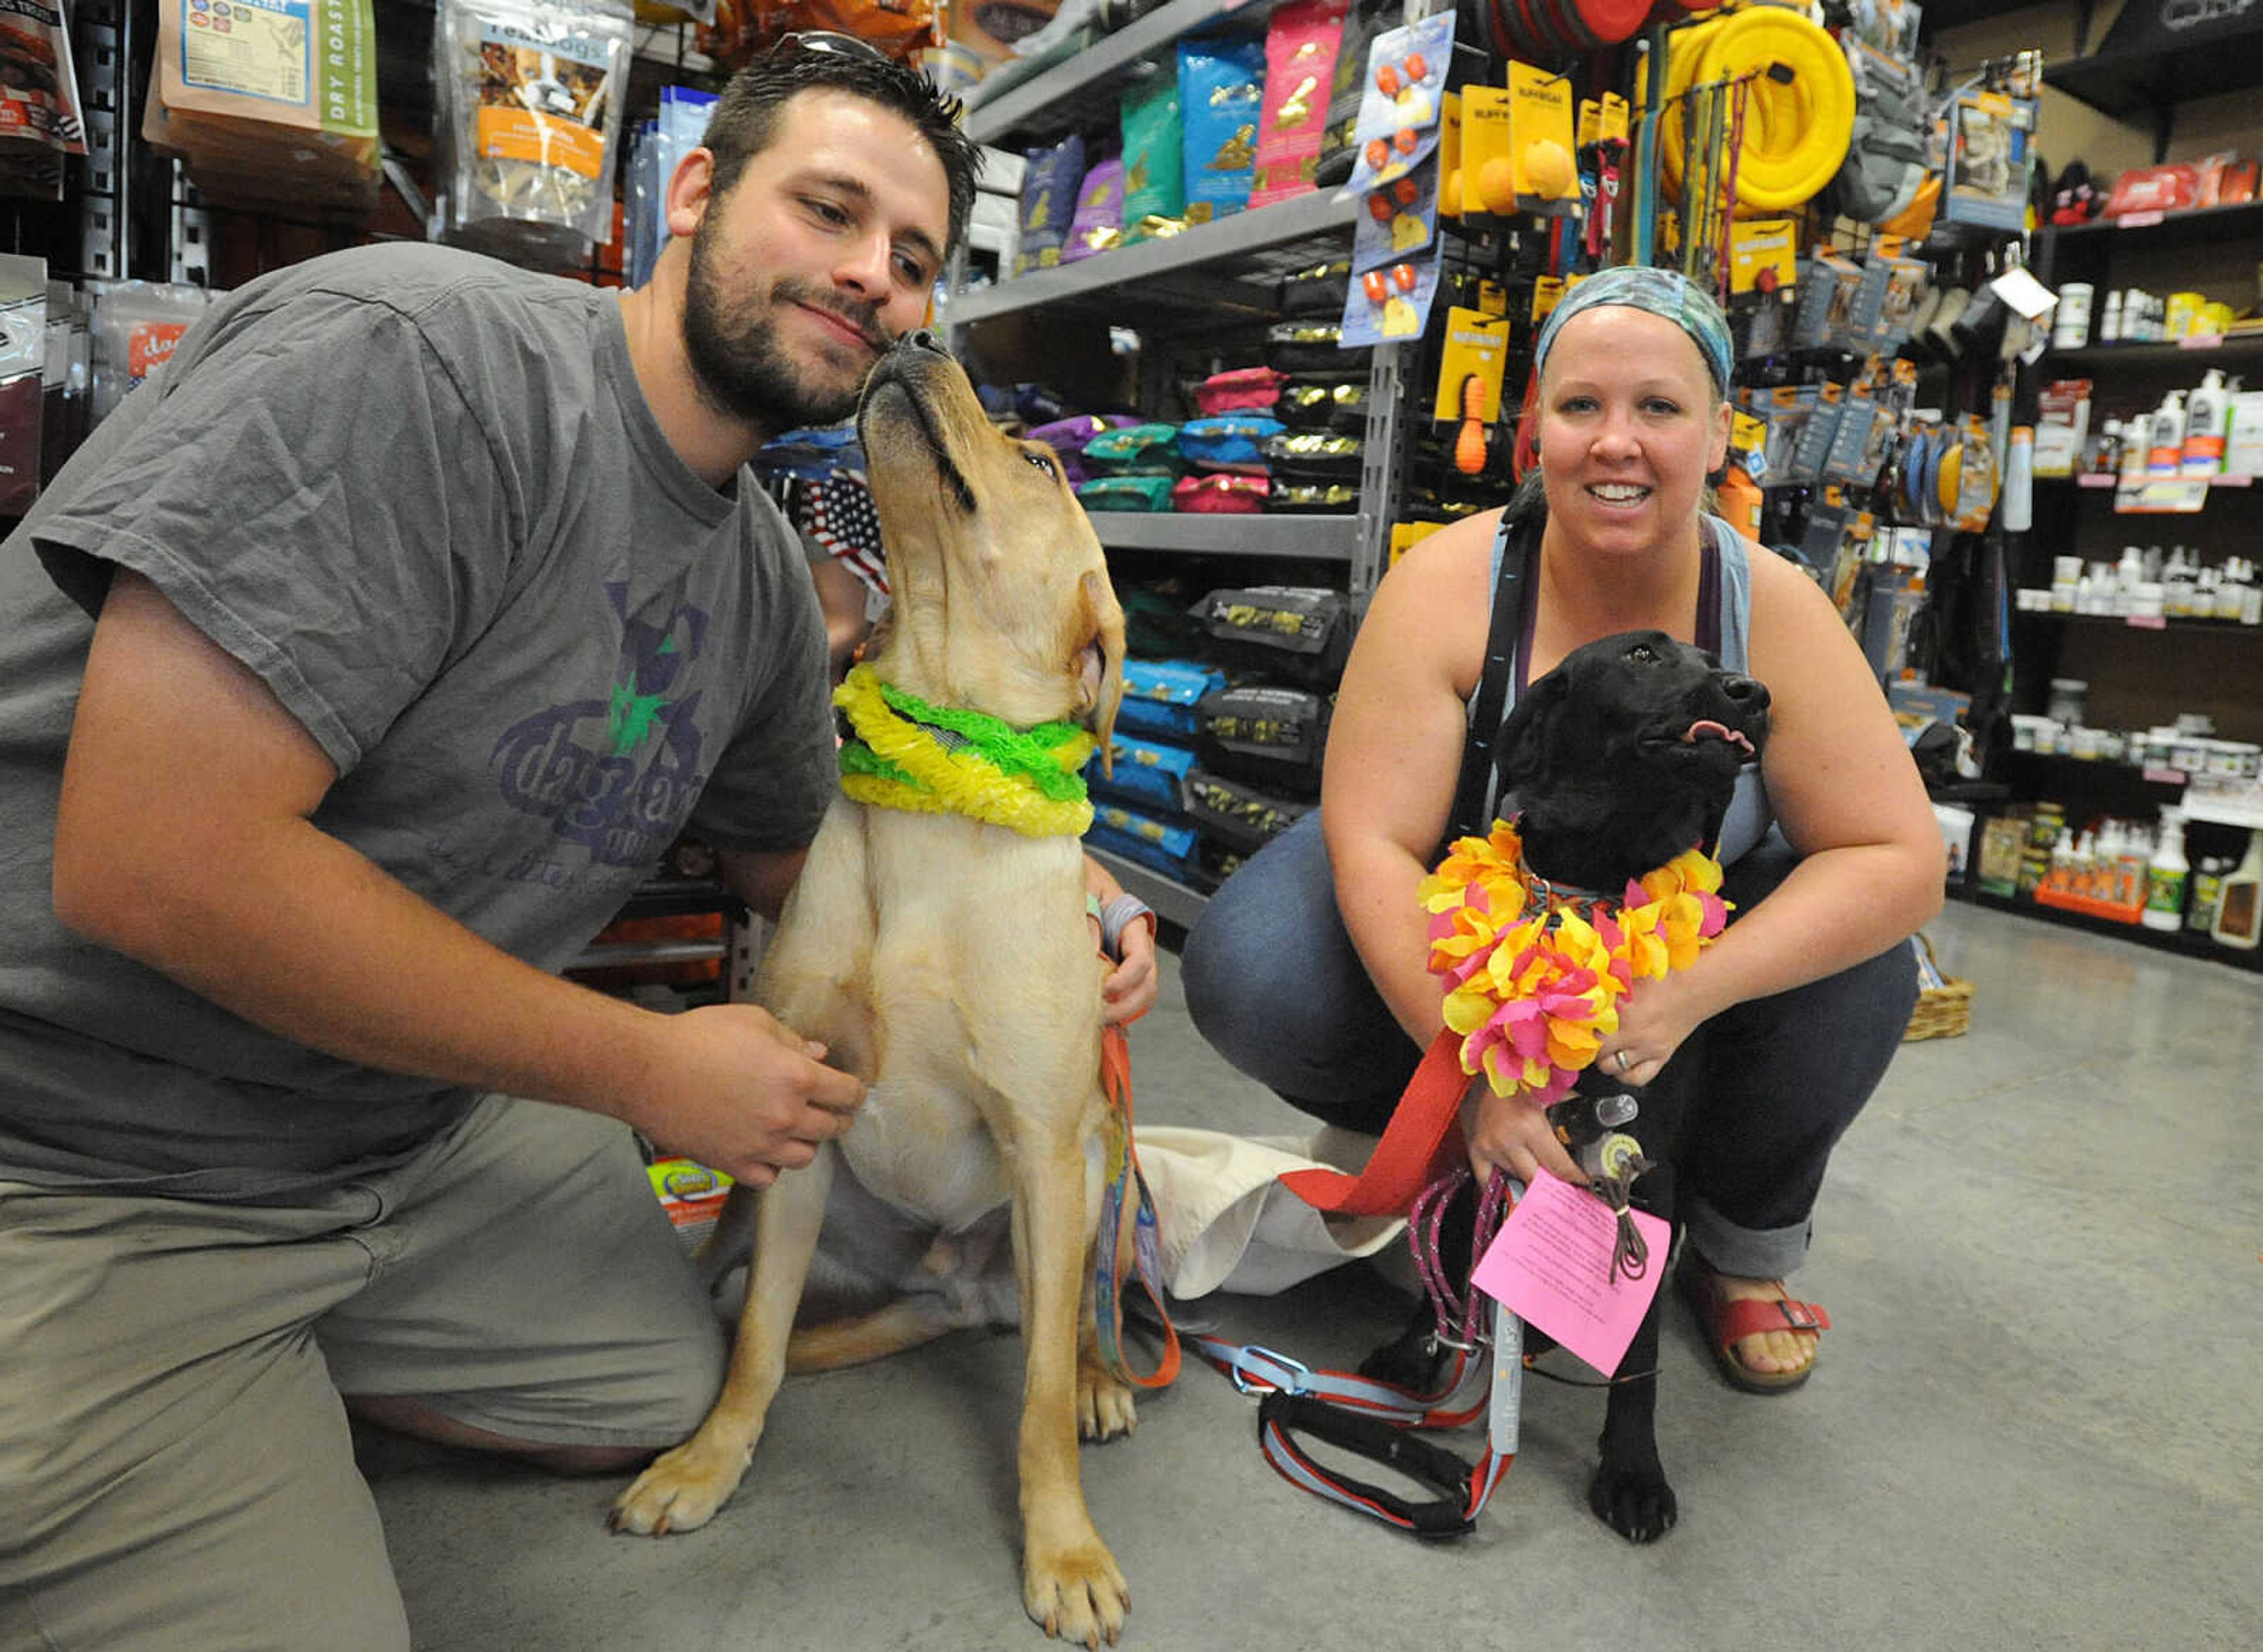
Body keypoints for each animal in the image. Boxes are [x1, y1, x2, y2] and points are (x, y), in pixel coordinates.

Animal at [611, 328, 1140, 1638]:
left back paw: (1102, 1379)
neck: (944, 777)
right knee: (743, 1290)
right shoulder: (791, 1118)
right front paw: (710, 1460)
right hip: (786, 1201)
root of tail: (953, 1294)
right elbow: (756, 1342)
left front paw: (1063, 1550)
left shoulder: (1049, 1144)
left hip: (1100, 1171)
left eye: (1041, 466)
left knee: (1080, 1319)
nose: (918, 335)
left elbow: (1037, 1407)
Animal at [1358, 624, 1765, 1539]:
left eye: (1714, 655)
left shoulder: (1647, 1168)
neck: (1601, 874)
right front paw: (1424, 1344)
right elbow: (1456, 1245)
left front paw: (1634, 1470)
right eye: (1644, 656)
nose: (1753, 692)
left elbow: (1640, 1352)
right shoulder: (1478, 1141)